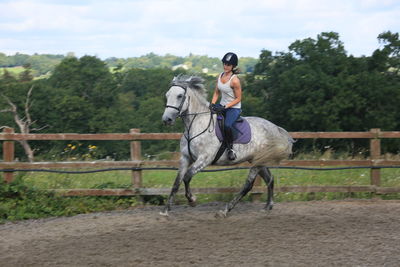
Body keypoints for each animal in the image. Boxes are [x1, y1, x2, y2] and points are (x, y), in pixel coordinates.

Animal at [160, 75, 294, 218]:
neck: (196, 125)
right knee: (270, 179)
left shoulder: (204, 159)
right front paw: (165, 210)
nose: (166, 119)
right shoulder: (185, 158)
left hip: (257, 163)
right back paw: (268, 206)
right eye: (167, 95)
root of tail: (276, 128)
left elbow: (187, 177)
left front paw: (192, 200)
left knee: (248, 185)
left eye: (180, 96)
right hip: (259, 160)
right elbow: (176, 182)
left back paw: (225, 210)